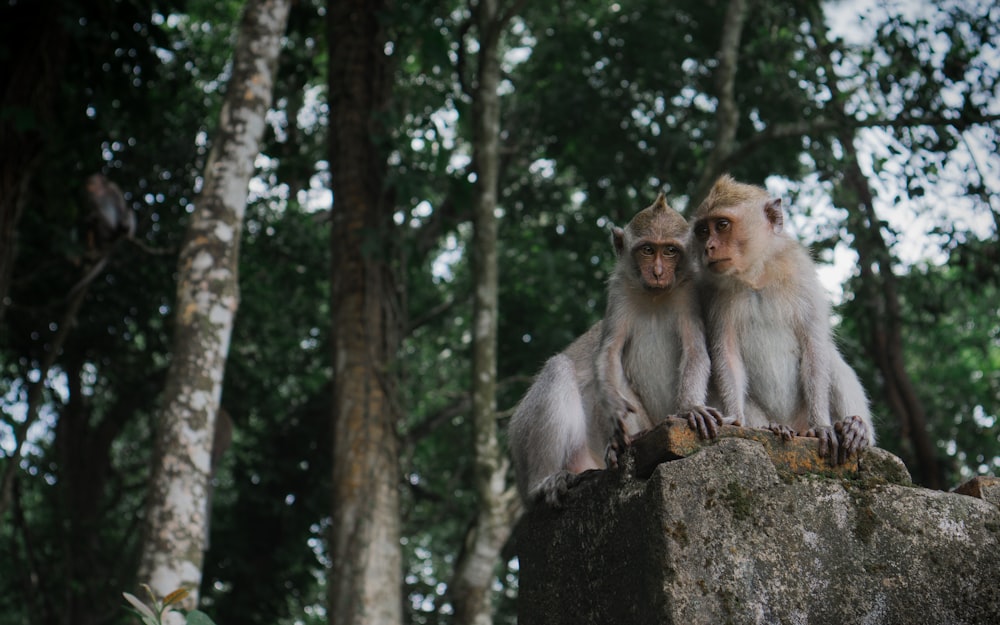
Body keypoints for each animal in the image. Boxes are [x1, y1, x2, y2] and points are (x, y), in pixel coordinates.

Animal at [512, 191, 724, 508]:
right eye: (647, 250)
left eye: (670, 251)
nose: (658, 272)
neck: (654, 297)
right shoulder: (619, 292)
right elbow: (608, 352)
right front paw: (614, 408)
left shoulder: (689, 292)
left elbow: (695, 349)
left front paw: (691, 408)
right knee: (560, 369)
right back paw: (548, 480)